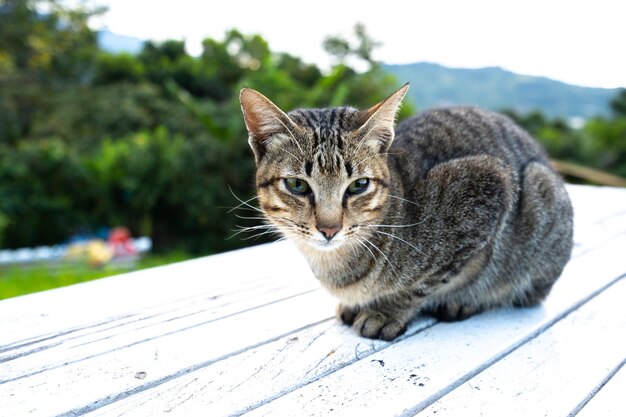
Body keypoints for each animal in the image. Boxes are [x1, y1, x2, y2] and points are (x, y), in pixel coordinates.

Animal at [238, 83, 572, 340]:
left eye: (359, 185)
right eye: (297, 185)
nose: (329, 229)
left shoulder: (490, 184)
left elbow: (424, 283)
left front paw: (386, 311)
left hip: (540, 191)